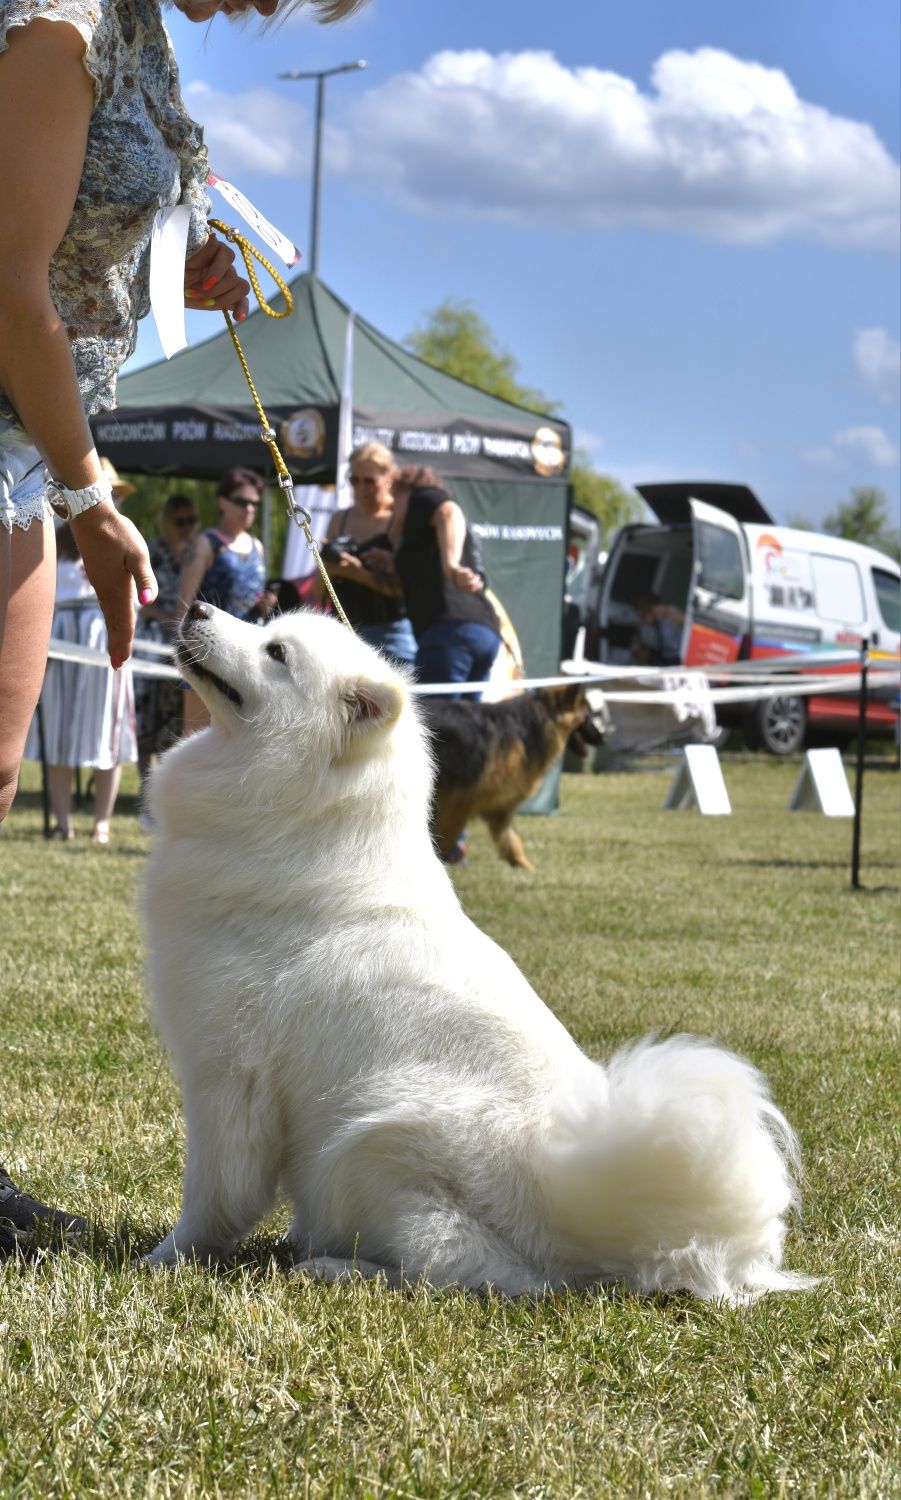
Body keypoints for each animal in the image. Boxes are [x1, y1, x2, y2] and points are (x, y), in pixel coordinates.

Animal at [419, 687, 605, 876]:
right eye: (587, 716)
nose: (602, 738)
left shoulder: (500, 808)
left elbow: (512, 841)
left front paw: (527, 869)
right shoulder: (458, 805)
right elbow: (445, 839)